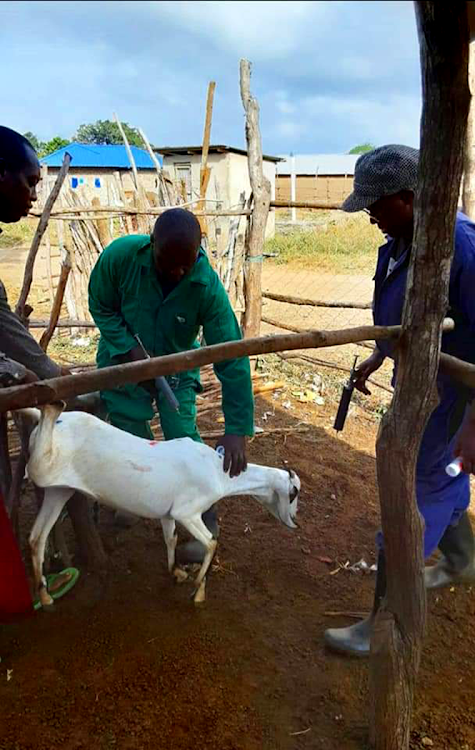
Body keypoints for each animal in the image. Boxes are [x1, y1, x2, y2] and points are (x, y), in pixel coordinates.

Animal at [23, 402, 302, 608]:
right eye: (294, 493)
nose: (295, 522)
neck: (219, 472)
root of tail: (59, 424)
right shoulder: (187, 512)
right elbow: (212, 542)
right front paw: (198, 591)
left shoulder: (168, 514)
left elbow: (171, 539)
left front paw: (176, 573)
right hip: (44, 470)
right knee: (34, 463)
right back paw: (51, 406)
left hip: (59, 490)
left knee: (36, 537)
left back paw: (45, 596)